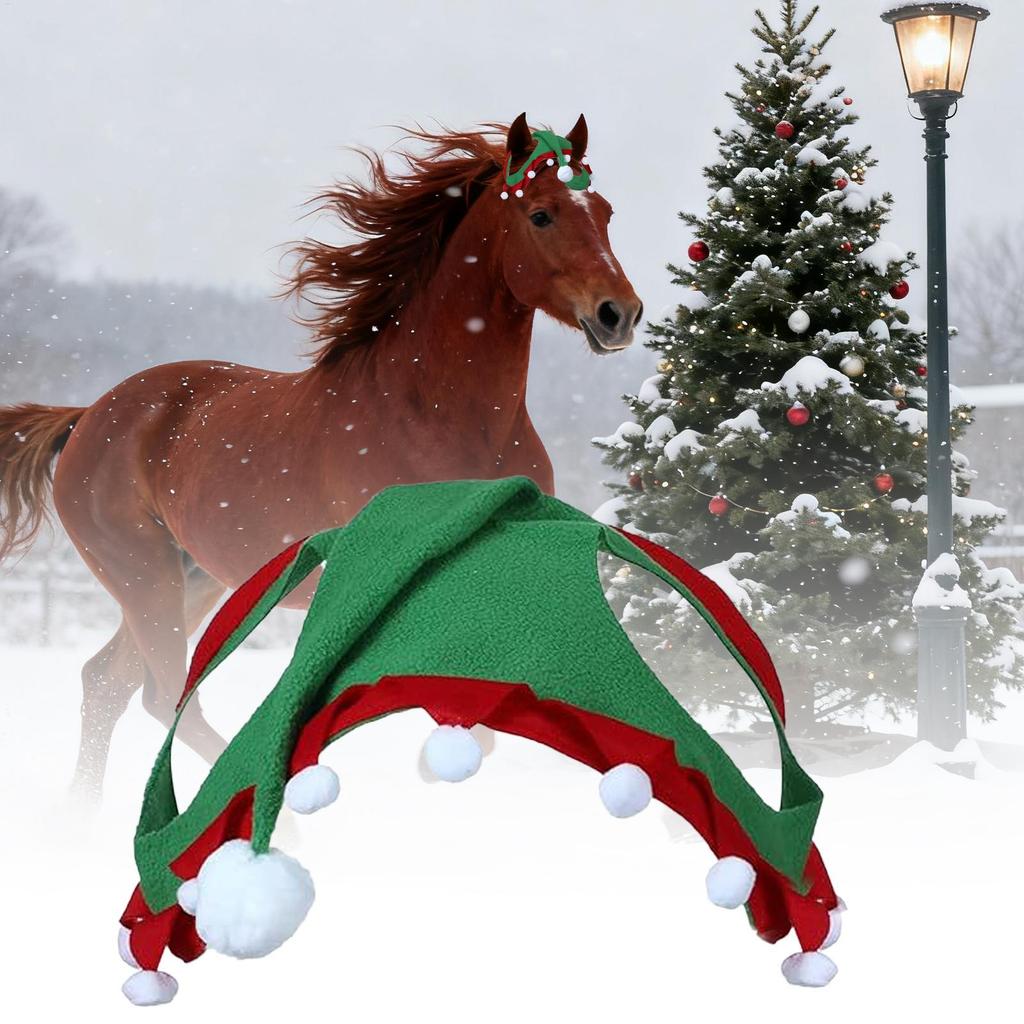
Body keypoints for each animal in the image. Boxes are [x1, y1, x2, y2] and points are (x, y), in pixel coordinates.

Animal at [0, 113, 642, 797]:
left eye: (606, 211)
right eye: (542, 214)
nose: (619, 313)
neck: (443, 415)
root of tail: (87, 416)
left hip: (190, 579)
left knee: (109, 684)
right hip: (143, 579)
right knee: (166, 696)